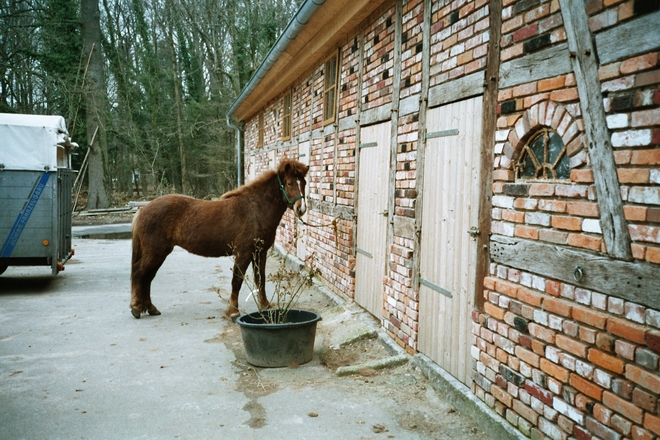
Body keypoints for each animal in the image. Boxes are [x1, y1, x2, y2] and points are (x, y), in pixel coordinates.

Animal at [131, 158, 312, 320]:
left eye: (303, 183)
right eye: (289, 183)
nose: (301, 209)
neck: (255, 209)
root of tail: (143, 210)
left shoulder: (260, 252)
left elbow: (260, 279)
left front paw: (265, 306)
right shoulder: (244, 252)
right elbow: (237, 280)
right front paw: (233, 311)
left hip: (158, 254)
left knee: (147, 277)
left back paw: (150, 308)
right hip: (156, 252)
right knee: (139, 273)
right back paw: (136, 308)